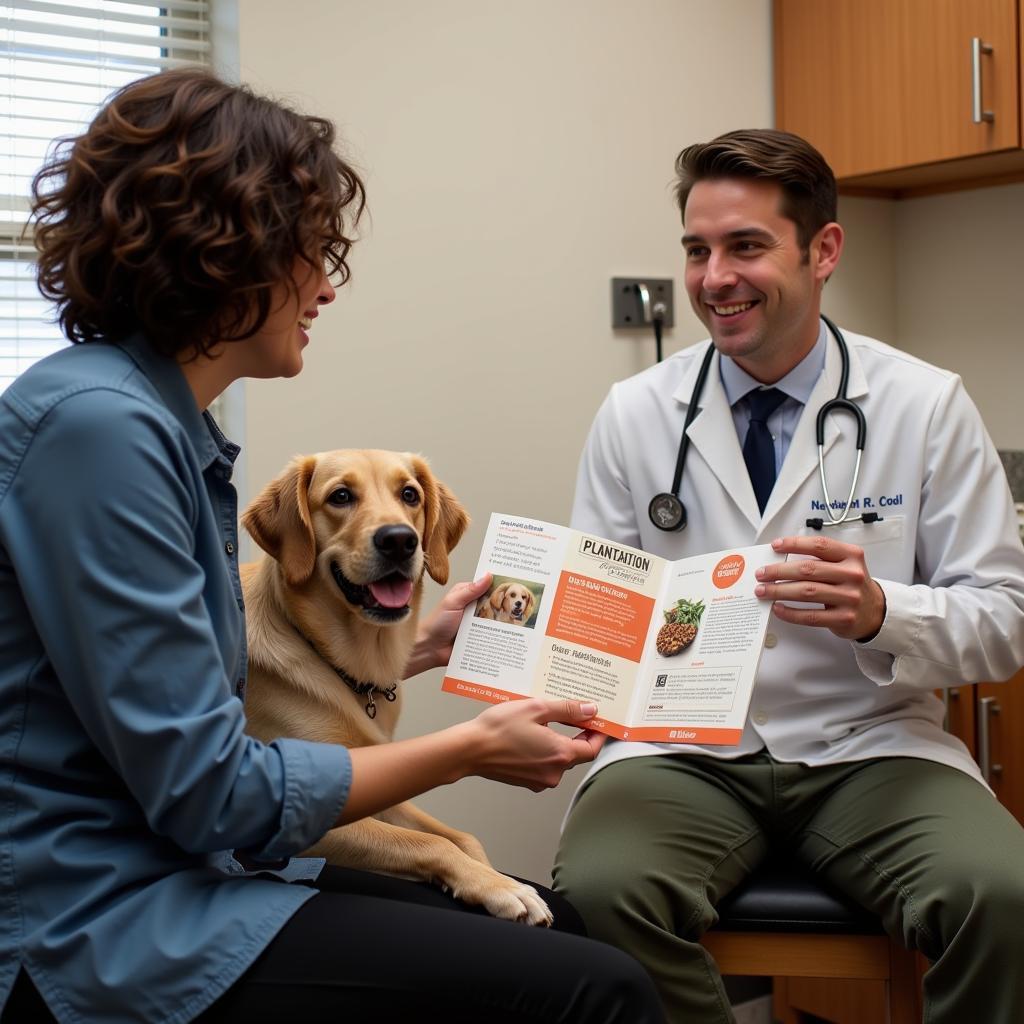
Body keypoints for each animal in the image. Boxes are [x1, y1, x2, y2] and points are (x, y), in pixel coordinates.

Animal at [240, 444, 552, 925]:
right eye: (341, 496)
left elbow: (462, 838)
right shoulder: (297, 817)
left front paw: (494, 877)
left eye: (409, 494)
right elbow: (431, 842)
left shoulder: (380, 783)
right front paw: (502, 888)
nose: (399, 540)